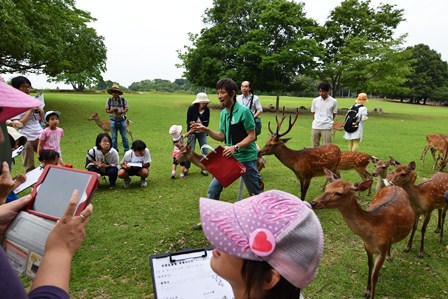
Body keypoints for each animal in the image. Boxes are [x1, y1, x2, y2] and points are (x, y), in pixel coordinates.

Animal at [312, 169, 412, 299]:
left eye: (339, 193)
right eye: (326, 187)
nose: (313, 203)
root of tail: (394, 186)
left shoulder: (381, 250)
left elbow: (375, 275)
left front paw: (371, 294)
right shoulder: (367, 246)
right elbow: (369, 266)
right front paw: (366, 291)